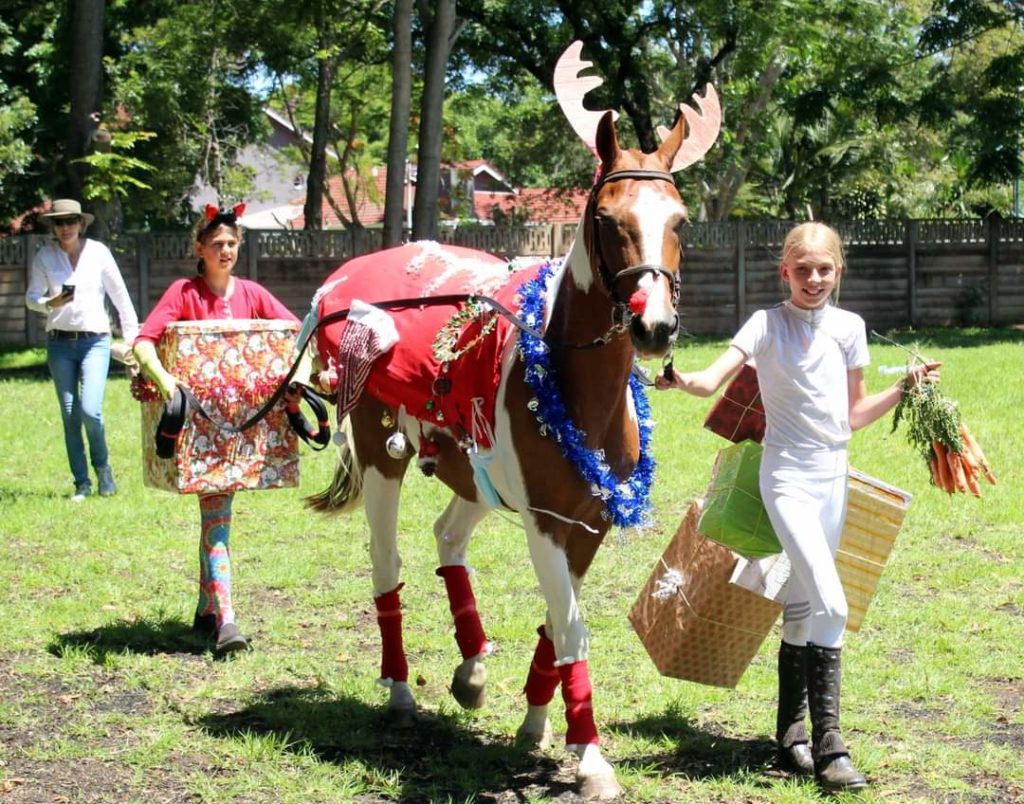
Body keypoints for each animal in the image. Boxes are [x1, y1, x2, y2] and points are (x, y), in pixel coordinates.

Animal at [301, 40, 720, 794]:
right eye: (608, 218)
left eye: (679, 221)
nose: (656, 328)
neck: (577, 391)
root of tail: (341, 288)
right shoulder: (549, 523)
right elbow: (572, 628)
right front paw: (591, 758)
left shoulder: (587, 521)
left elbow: (557, 624)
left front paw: (535, 720)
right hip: (382, 455)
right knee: (387, 561)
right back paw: (401, 691)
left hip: (474, 475)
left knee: (447, 537)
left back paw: (470, 669)